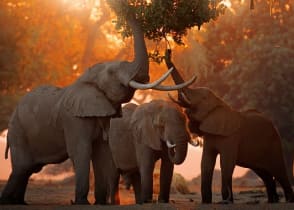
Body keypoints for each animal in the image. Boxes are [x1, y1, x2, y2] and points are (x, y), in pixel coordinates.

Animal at [0, 6, 195, 205]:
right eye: (112, 72)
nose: (169, 52)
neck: (86, 79)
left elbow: (102, 151)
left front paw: (99, 203)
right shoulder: (73, 119)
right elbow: (81, 150)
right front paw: (82, 203)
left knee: (27, 169)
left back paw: (18, 202)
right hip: (18, 130)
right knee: (22, 167)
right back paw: (8, 201)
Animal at [164, 49, 294, 203]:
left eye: (203, 98)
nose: (169, 51)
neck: (220, 103)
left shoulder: (231, 137)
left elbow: (226, 162)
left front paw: (226, 201)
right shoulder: (210, 135)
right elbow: (206, 163)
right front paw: (207, 202)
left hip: (274, 143)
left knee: (279, 171)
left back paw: (288, 200)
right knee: (264, 173)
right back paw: (272, 201)